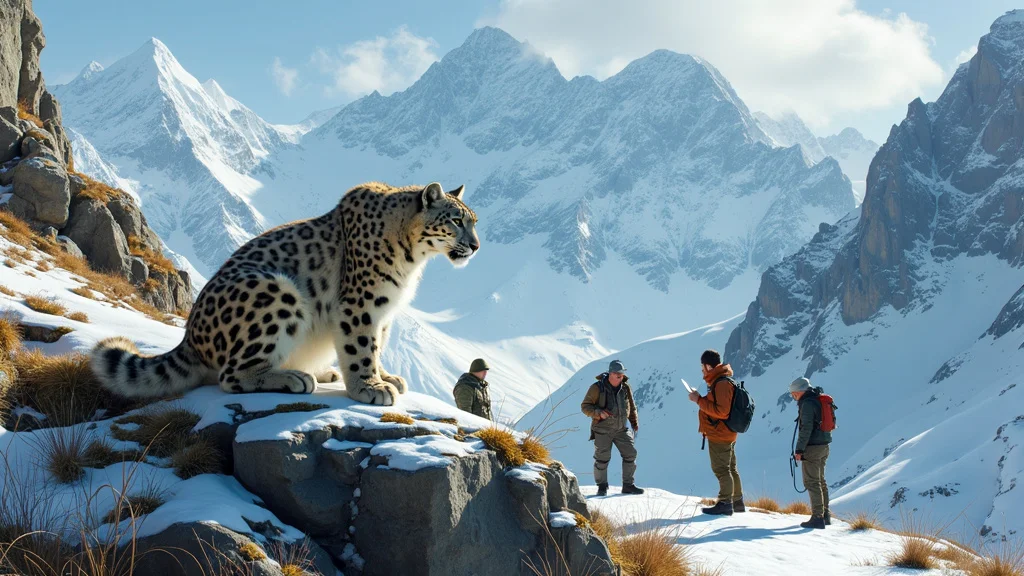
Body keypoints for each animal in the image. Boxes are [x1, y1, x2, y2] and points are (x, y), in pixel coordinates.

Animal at [90, 182, 480, 406]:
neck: (412, 259)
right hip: (276, 292)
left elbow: (378, 345)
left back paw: (321, 372)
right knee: (230, 375)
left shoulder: (385, 311)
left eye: (474, 220)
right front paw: (369, 386)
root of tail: (190, 338)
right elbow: (360, 346)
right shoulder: (361, 304)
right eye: (456, 220)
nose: (476, 246)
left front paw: (385, 377)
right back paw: (296, 378)